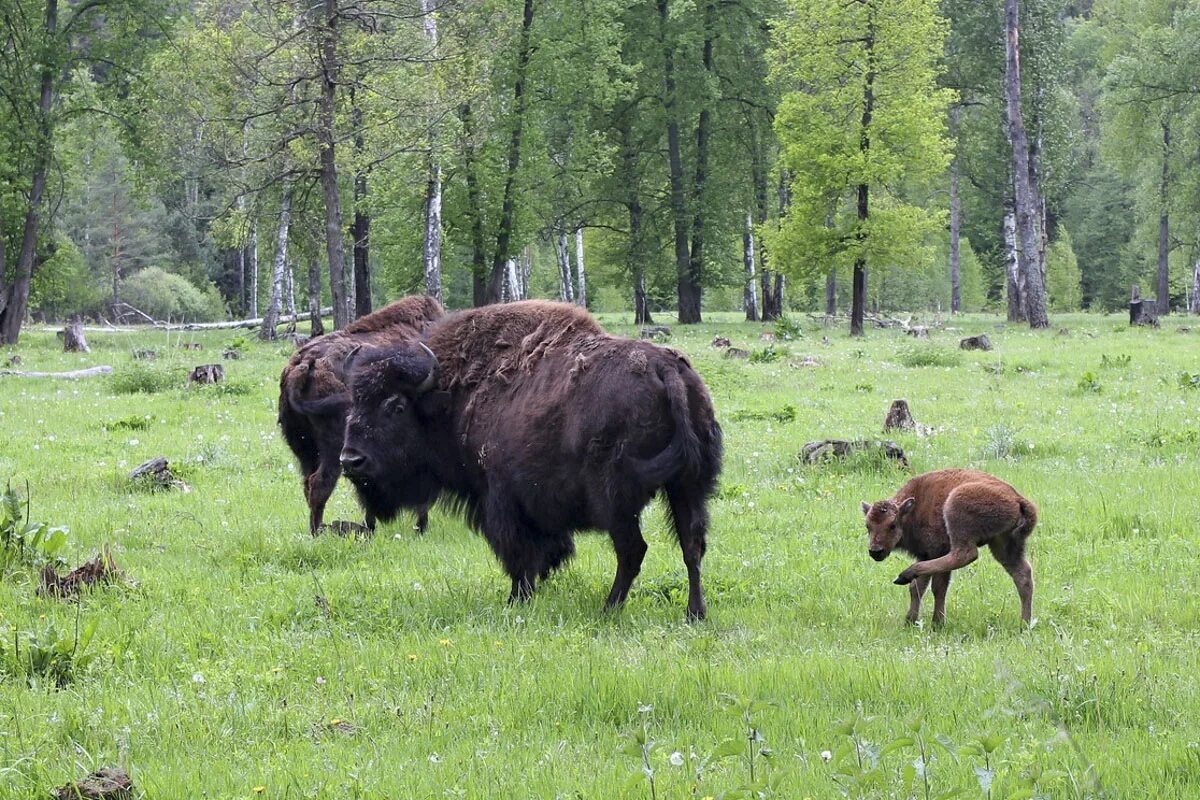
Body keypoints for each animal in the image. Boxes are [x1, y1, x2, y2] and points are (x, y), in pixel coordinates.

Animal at [277, 297, 446, 534]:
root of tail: (305, 364)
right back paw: (319, 533)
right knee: (320, 484)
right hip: (333, 451)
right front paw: (421, 527)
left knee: (308, 484)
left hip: (304, 451)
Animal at [338, 299, 720, 618]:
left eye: (396, 406)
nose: (350, 460)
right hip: (687, 486)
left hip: (616, 499)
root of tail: (666, 369)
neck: (452, 396)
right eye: (354, 403)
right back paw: (694, 613)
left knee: (632, 550)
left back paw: (609, 608)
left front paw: (516, 599)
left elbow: (518, 554)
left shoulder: (500, 499)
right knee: (692, 545)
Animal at [859, 470, 1036, 623]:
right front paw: (910, 621)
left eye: (892, 525)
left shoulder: (937, 550)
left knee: (965, 555)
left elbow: (938, 587)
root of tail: (1017, 498)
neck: (913, 509)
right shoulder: (924, 554)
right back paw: (1025, 623)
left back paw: (905, 575)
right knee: (1022, 574)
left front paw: (937, 623)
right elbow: (917, 588)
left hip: (957, 514)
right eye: (868, 526)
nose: (875, 551)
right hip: (1004, 544)